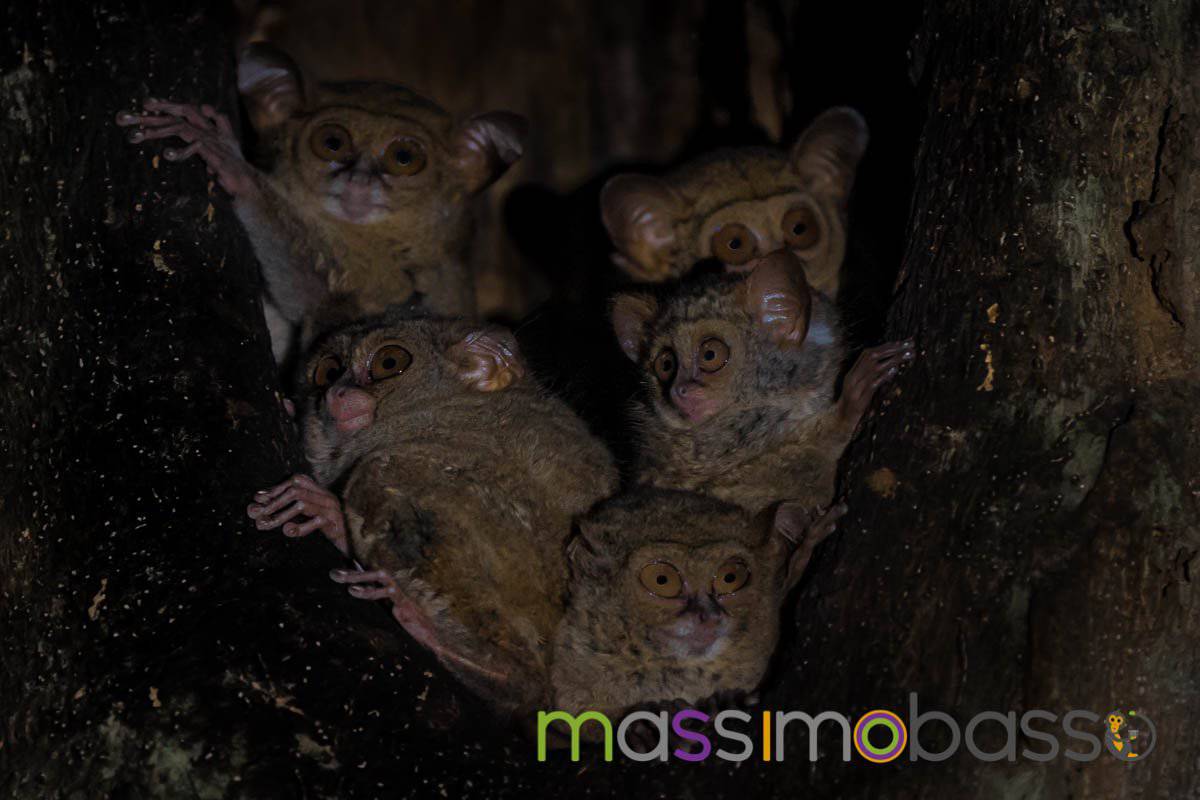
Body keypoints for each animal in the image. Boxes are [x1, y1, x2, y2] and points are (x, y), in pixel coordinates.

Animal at [117, 43, 527, 363]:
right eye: (332, 143)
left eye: (404, 158)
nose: (359, 180)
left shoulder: (399, 273)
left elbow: (323, 299)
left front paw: (233, 166)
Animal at [245, 310, 618, 712]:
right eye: (327, 371)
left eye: (388, 363)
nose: (336, 393)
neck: (441, 405)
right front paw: (290, 410)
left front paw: (323, 506)